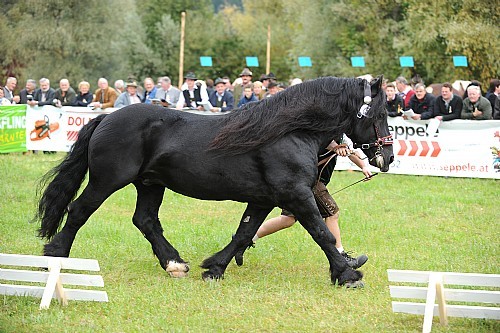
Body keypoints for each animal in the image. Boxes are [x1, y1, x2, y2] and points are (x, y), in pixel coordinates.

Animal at [36, 76, 394, 286]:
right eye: (379, 114)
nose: (388, 158)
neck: (289, 131)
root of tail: (106, 117)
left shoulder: (264, 199)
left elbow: (244, 232)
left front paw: (215, 267)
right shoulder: (296, 195)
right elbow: (322, 233)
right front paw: (347, 273)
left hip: (150, 184)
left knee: (145, 220)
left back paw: (175, 264)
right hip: (107, 181)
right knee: (78, 211)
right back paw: (54, 257)